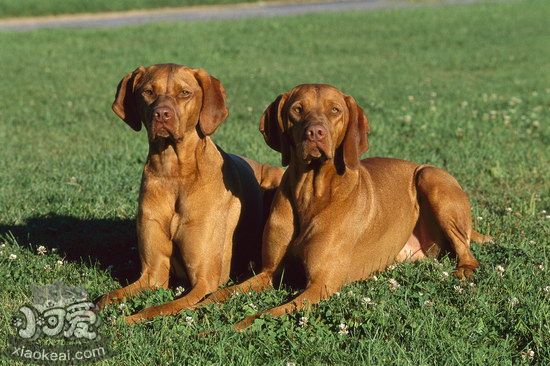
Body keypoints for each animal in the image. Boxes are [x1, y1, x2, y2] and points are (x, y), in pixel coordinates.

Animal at [96, 63, 284, 324]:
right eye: (148, 92)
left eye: (185, 93)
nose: (162, 115)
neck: (174, 173)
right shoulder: (152, 273)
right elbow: (105, 297)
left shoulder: (204, 282)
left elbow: (157, 309)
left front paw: (126, 320)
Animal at [201, 84, 494, 330]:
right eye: (297, 109)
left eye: (335, 110)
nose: (315, 133)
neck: (311, 193)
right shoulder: (269, 272)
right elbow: (222, 292)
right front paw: (195, 307)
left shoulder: (321, 285)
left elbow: (264, 314)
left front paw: (228, 327)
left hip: (429, 176)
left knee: (467, 252)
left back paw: (463, 270)